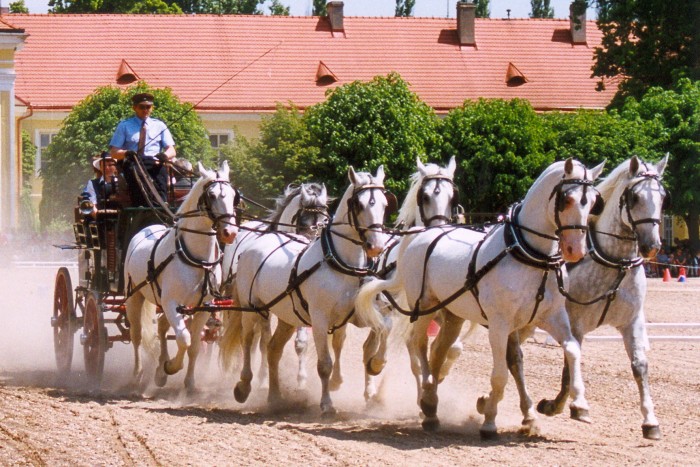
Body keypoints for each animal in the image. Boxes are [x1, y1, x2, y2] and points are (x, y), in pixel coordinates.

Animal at [123, 161, 238, 392]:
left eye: (233, 195)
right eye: (212, 195)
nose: (230, 233)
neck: (197, 259)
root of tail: (146, 229)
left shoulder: (202, 307)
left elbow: (194, 345)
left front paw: (189, 382)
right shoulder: (171, 303)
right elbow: (184, 338)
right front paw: (171, 366)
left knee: (161, 327)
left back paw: (158, 371)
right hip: (134, 297)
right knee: (136, 335)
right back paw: (138, 373)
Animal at [220, 183, 330, 388]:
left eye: (324, 221)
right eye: (303, 221)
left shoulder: (299, 304)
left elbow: (300, 343)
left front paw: (301, 379)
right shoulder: (264, 307)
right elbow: (265, 341)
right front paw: (263, 378)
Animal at [358, 159, 604, 436]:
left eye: (593, 201)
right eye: (567, 199)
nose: (576, 250)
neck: (529, 255)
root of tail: (420, 235)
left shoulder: (551, 317)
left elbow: (570, 350)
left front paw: (577, 405)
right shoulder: (499, 324)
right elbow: (500, 374)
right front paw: (489, 420)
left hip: (452, 315)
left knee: (437, 351)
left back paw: (430, 400)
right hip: (424, 307)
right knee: (417, 344)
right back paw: (425, 400)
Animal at [540, 155, 668, 440]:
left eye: (663, 197)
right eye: (634, 197)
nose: (652, 246)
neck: (614, 262)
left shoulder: (632, 322)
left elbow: (640, 366)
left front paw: (650, 421)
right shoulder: (575, 323)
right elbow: (570, 363)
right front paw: (569, 404)